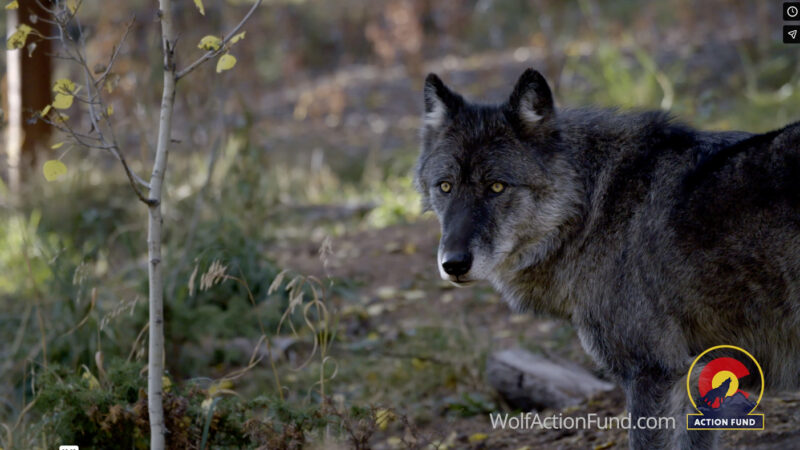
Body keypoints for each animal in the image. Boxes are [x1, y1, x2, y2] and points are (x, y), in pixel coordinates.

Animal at [414, 68, 800, 449]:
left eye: (496, 187)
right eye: (445, 186)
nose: (453, 264)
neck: (592, 209)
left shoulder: (652, 372)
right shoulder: (699, 377)